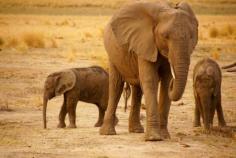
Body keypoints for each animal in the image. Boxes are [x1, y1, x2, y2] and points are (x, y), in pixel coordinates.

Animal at [100, 0, 198, 141]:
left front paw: (165, 136)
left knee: (137, 90)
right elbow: (150, 80)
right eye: (165, 36)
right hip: (112, 53)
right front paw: (154, 138)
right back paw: (108, 133)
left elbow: (165, 82)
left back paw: (136, 130)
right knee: (116, 86)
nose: (174, 83)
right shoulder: (145, 43)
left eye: (191, 37)